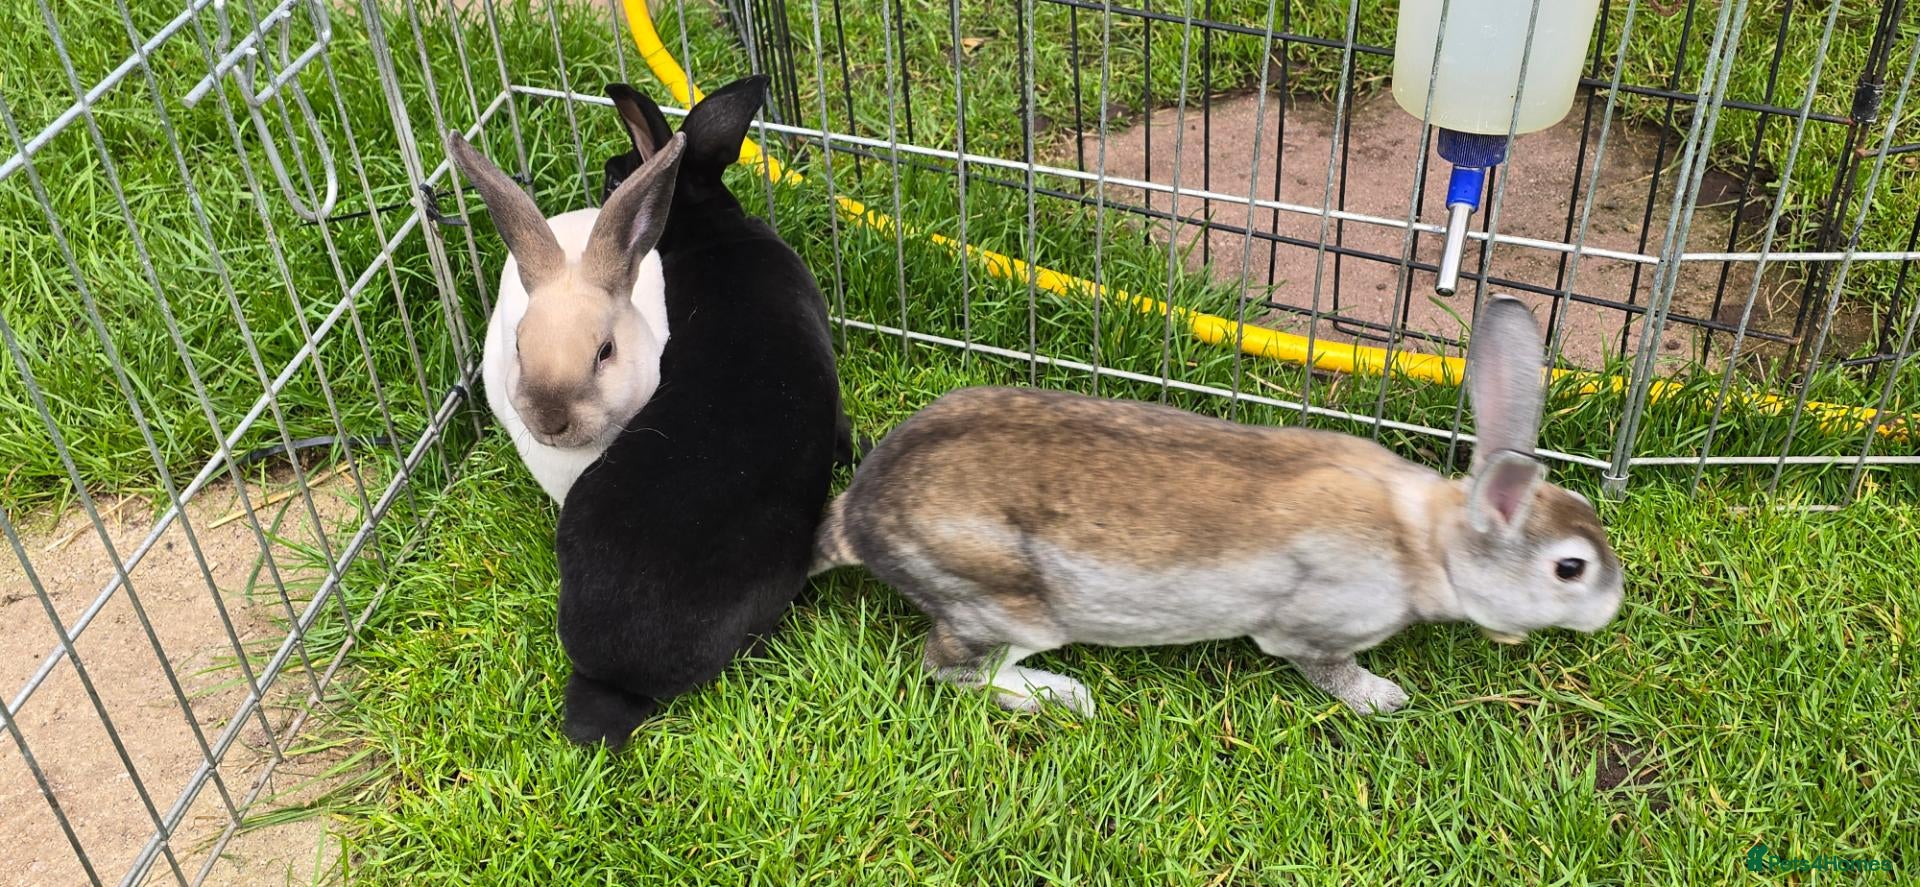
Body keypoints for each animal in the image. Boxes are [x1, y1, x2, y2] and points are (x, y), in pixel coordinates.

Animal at [812, 295, 1625, 717]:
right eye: (1571, 568)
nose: (1613, 606)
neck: (1426, 541)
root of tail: (856, 515)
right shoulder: (1313, 628)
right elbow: (1327, 669)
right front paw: (1384, 699)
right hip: (1004, 603)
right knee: (952, 668)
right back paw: (1061, 695)